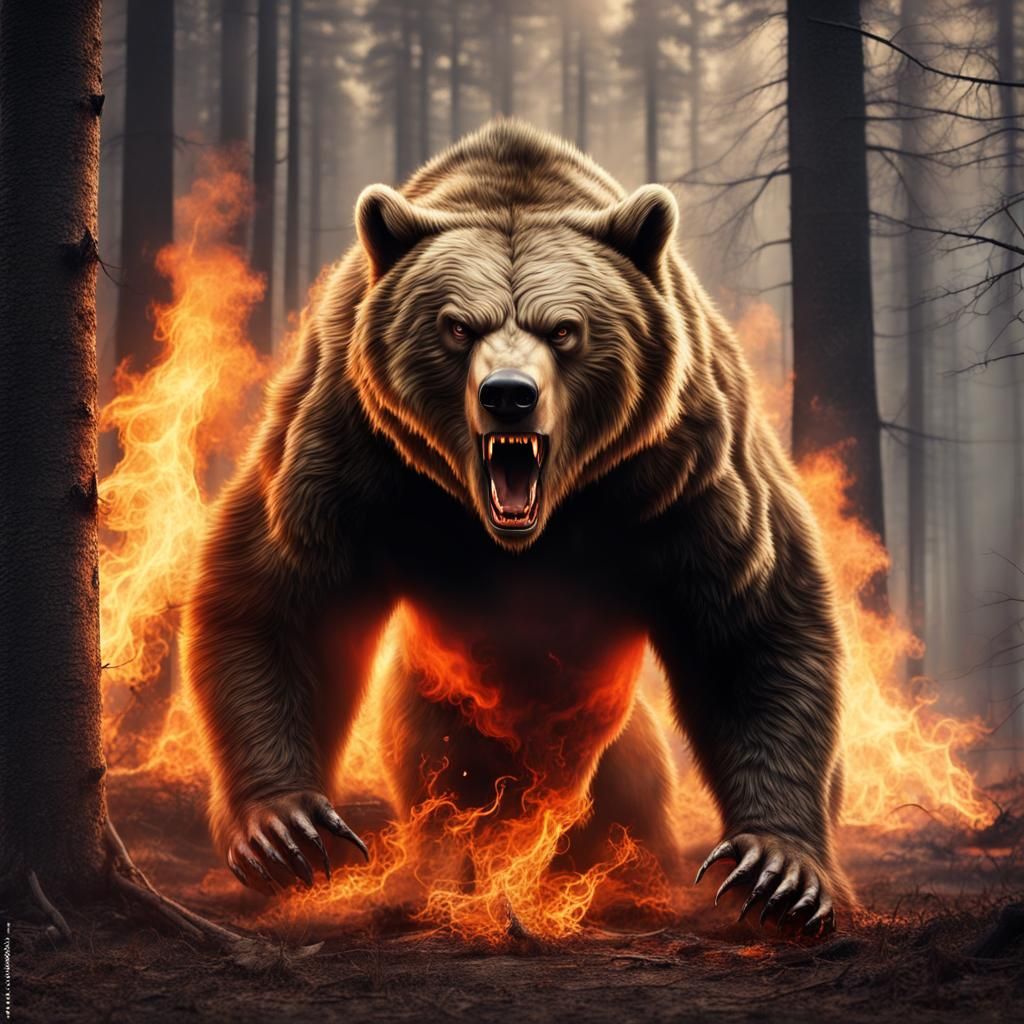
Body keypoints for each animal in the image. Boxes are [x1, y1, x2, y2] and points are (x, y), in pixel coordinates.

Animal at [182, 119, 850, 935]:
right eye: (455, 326)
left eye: (563, 329)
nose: (508, 394)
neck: (525, 528)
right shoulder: (351, 440)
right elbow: (284, 593)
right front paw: (287, 830)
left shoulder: (682, 460)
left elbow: (749, 619)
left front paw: (775, 869)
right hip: (438, 718)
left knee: (629, 791)